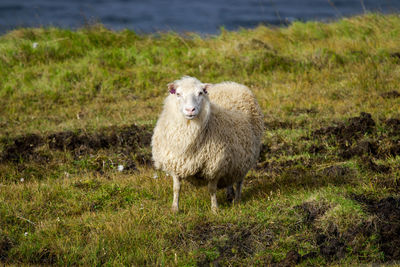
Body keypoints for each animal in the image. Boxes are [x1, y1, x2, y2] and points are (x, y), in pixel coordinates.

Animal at [152, 77, 264, 214]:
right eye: (178, 94)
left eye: (200, 93)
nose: (190, 110)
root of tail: (232, 84)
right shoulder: (176, 164)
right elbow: (176, 188)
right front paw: (175, 208)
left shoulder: (215, 165)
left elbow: (212, 189)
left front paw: (214, 209)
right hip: (232, 160)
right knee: (230, 179)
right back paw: (229, 194)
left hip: (244, 159)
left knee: (239, 181)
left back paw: (237, 200)